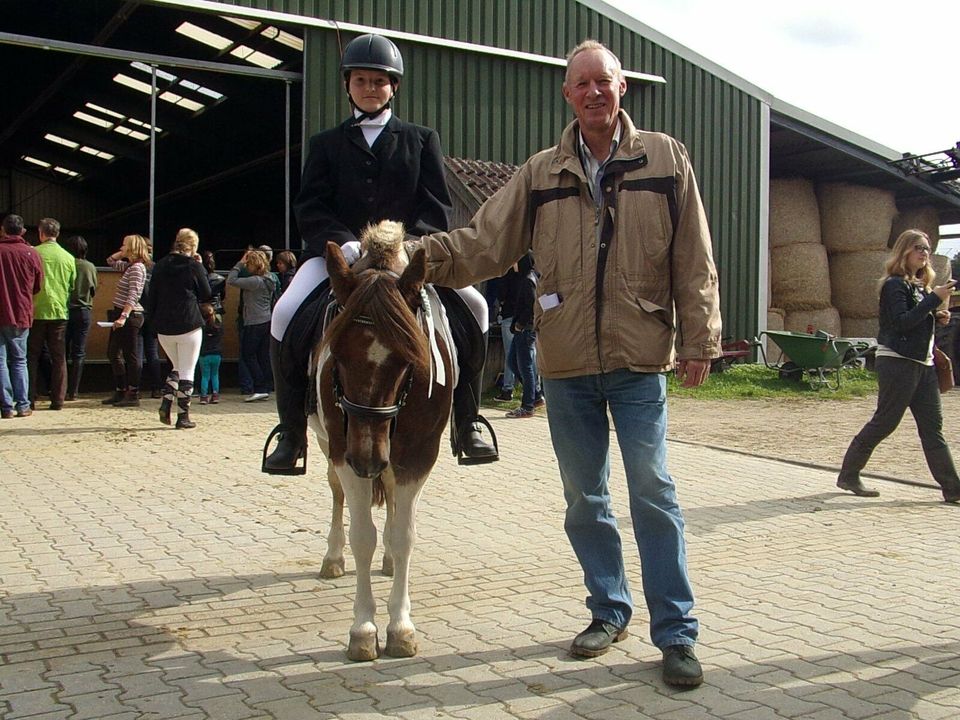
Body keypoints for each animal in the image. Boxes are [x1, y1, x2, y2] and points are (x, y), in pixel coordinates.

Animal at [310, 221, 456, 664]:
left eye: (408, 358)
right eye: (336, 353)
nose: (367, 458)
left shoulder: (416, 458)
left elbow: (403, 536)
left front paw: (401, 627)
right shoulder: (343, 454)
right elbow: (363, 536)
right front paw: (363, 629)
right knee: (337, 494)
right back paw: (333, 557)